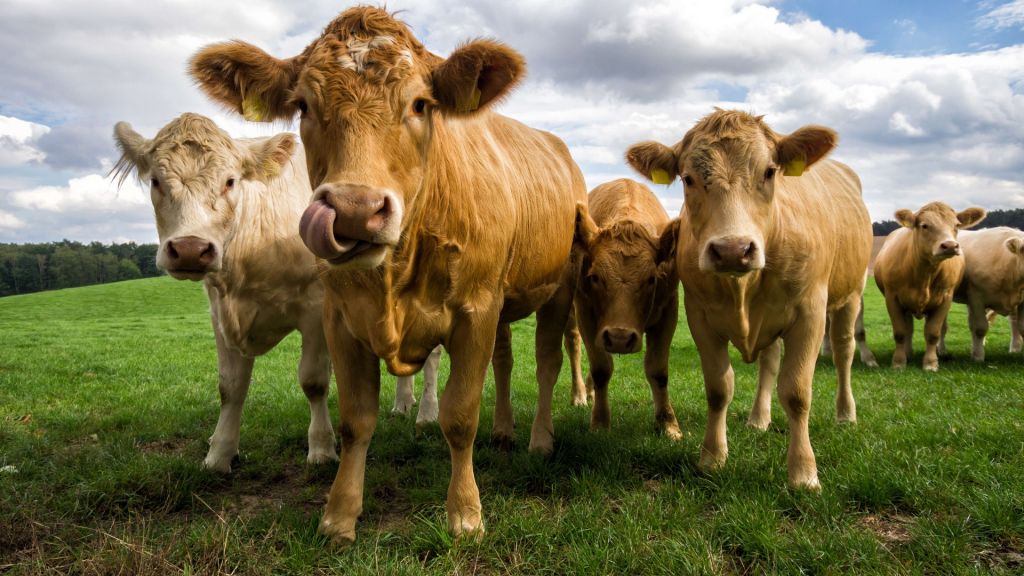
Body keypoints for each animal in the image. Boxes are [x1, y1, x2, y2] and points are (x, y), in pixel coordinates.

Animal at [190, 6, 585, 541]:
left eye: (420, 104)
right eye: (304, 105)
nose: (355, 211)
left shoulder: (476, 310)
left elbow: (460, 415)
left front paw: (465, 514)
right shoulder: (339, 318)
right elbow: (356, 418)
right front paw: (339, 515)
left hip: (559, 288)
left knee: (547, 363)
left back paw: (540, 440)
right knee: (504, 362)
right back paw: (503, 432)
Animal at [573, 177, 684, 436]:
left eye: (651, 279)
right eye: (595, 277)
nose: (619, 337)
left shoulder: (669, 310)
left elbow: (658, 370)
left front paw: (668, 424)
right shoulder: (585, 311)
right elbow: (601, 368)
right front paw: (600, 423)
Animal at [622, 111, 872, 487]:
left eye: (769, 171)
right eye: (688, 178)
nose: (732, 250)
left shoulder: (810, 313)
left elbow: (797, 392)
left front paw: (803, 473)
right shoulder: (699, 315)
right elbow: (718, 388)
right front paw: (712, 458)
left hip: (851, 294)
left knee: (844, 351)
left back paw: (845, 414)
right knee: (769, 361)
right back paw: (759, 418)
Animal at [872, 201, 983, 368]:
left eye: (956, 225)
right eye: (925, 225)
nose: (950, 245)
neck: (925, 274)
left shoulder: (945, 298)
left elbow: (933, 333)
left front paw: (930, 362)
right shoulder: (892, 298)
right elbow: (900, 332)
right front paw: (899, 362)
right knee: (908, 329)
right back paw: (907, 352)